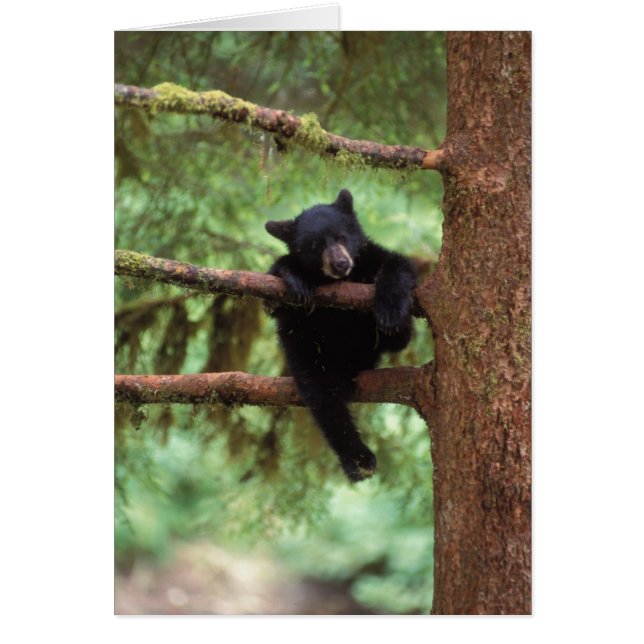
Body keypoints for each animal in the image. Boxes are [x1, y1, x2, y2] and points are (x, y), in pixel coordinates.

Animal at [265, 189, 417, 482]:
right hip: (309, 358)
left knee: (400, 339)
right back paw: (359, 459)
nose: (340, 263)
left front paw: (390, 311)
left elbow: (398, 264)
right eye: (314, 245)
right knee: (326, 403)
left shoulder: (370, 257)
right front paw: (294, 277)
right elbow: (274, 297)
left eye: (341, 236)